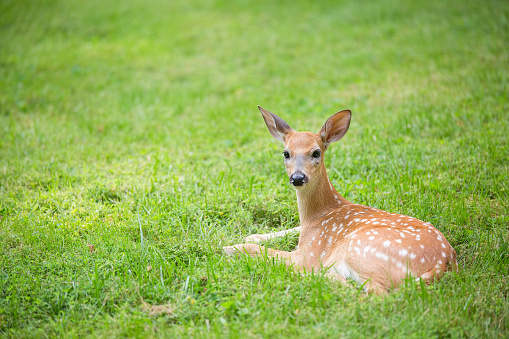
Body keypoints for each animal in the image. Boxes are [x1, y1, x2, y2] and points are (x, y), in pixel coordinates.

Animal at [222, 106, 456, 294]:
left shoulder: (308, 254)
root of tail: (444, 261)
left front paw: (229, 248)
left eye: (316, 152)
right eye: (286, 153)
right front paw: (253, 236)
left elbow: (264, 252)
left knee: (376, 293)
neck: (320, 213)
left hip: (363, 248)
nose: (297, 177)